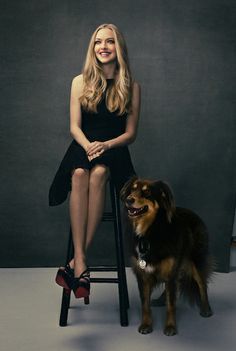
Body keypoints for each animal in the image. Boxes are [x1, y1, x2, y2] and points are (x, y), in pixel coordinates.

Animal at [121, 177, 213, 336]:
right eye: (132, 189)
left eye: (147, 192)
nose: (128, 200)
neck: (150, 231)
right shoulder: (143, 274)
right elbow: (145, 303)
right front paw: (146, 324)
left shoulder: (171, 270)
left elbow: (171, 304)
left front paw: (170, 327)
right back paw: (160, 300)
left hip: (195, 259)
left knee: (201, 283)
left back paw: (206, 308)